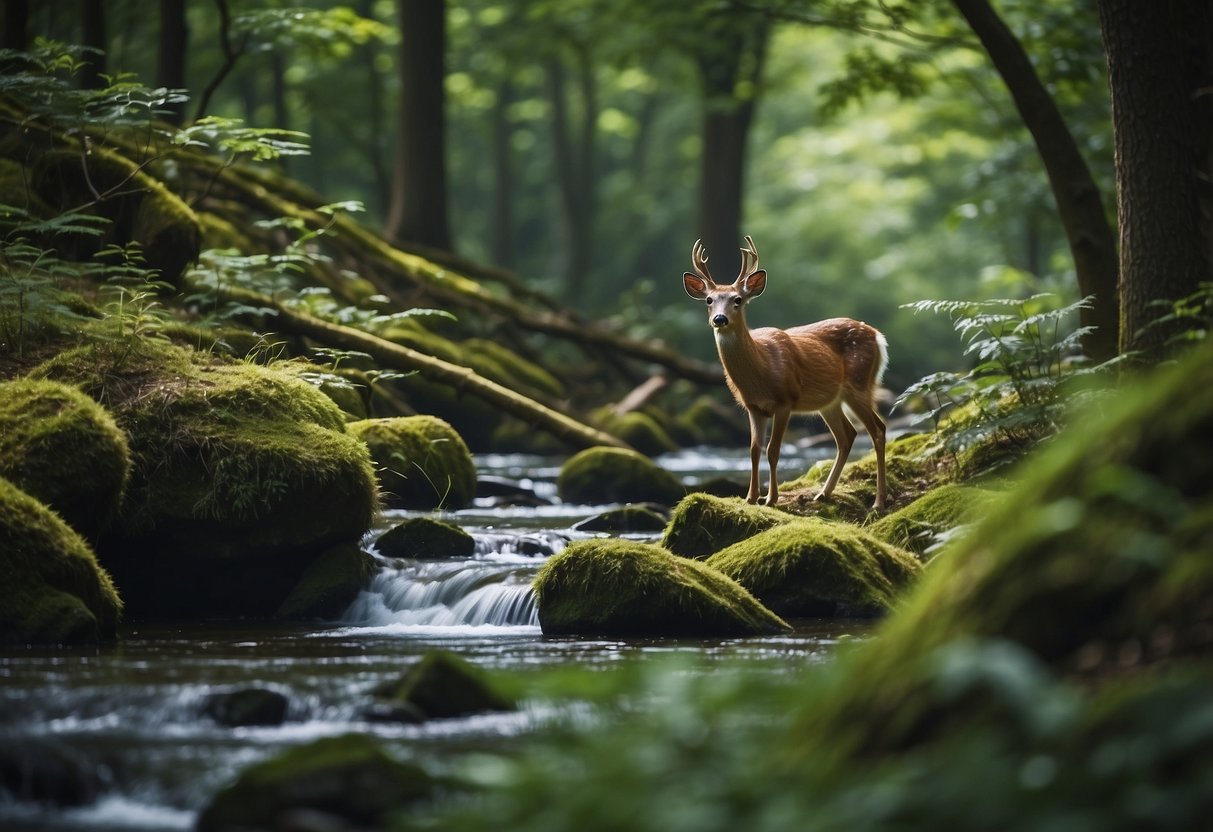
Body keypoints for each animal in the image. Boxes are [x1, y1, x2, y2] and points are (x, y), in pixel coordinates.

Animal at [684, 232, 892, 509]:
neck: (761, 371)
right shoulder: (753, 406)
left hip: (859, 384)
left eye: (737, 300)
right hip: (831, 401)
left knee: (878, 430)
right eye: (709, 300)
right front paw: (750, 497)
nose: (719, 319)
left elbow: (773, 450)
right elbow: (753, 449)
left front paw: (770, 498)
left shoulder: (786, 399)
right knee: (847, 436)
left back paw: (878, 502)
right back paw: (823, 493)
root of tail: (878, 336)